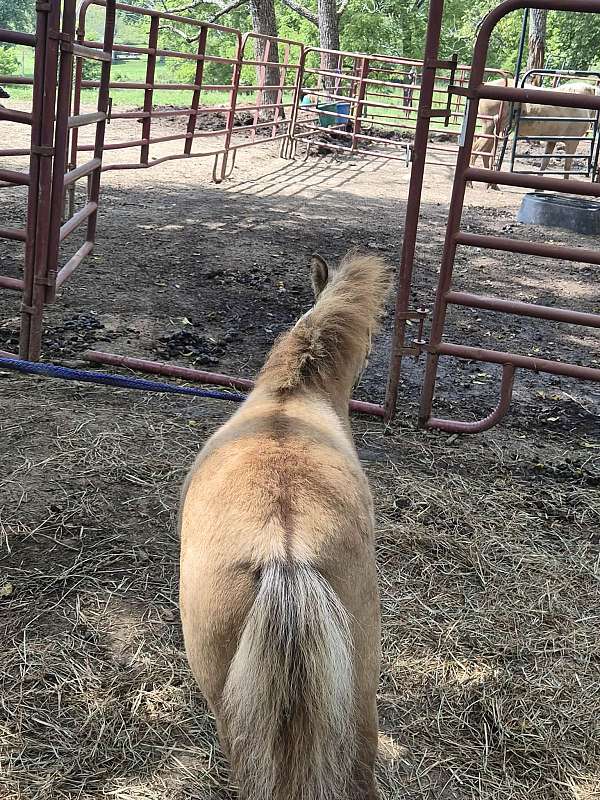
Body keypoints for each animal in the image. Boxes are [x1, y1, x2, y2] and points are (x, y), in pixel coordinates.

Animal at [469, 79, 597, 189]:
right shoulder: (572, 142)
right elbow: (567, 167)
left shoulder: (552, 140)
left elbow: (545, 163)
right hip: (490, 128)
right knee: (477, 149)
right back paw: (471, 183)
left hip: (494, 130)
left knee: (484, 152)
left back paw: (491, 184)